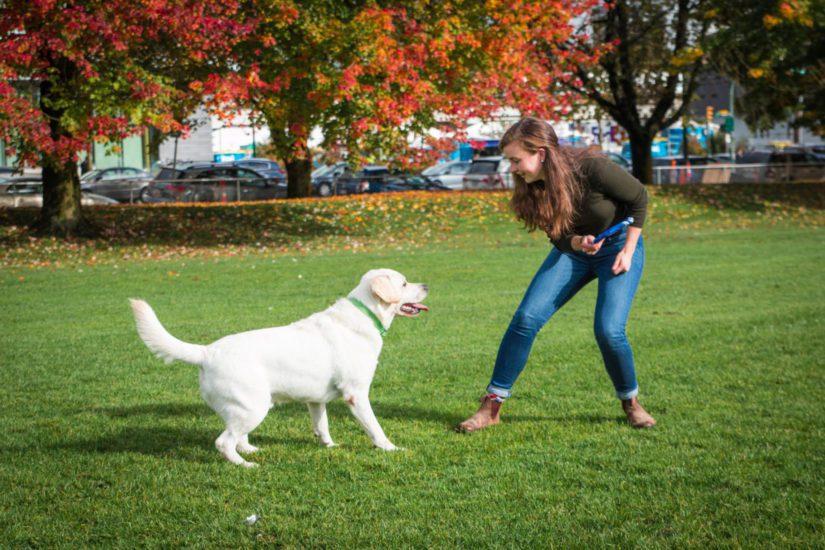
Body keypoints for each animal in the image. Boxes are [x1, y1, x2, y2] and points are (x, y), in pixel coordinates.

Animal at [130, 270, 424, 468]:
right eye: (404, 283)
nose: (426, 284)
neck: (366, 315)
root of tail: (207, 352)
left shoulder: (315, 400)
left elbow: (322, 425)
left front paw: (329, 446)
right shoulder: (357, 394)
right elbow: (375, 427)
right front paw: (390, 448)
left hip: (246, 407)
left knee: (237, 436)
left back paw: (251, 451)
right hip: (254, 406)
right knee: (224, 442)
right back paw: (245, 465)